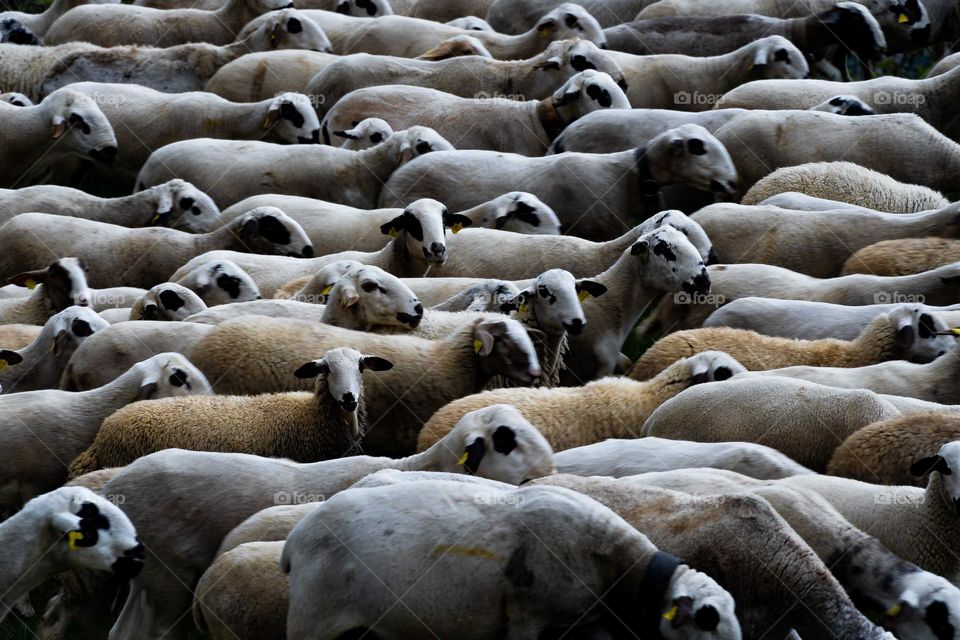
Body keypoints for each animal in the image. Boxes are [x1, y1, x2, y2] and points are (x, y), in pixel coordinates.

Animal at [92, 404, 555, 640]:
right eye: (507, 441)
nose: (546, 474)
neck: (416, 465)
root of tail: (117, 487)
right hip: (168, 579)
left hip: (149, 578)